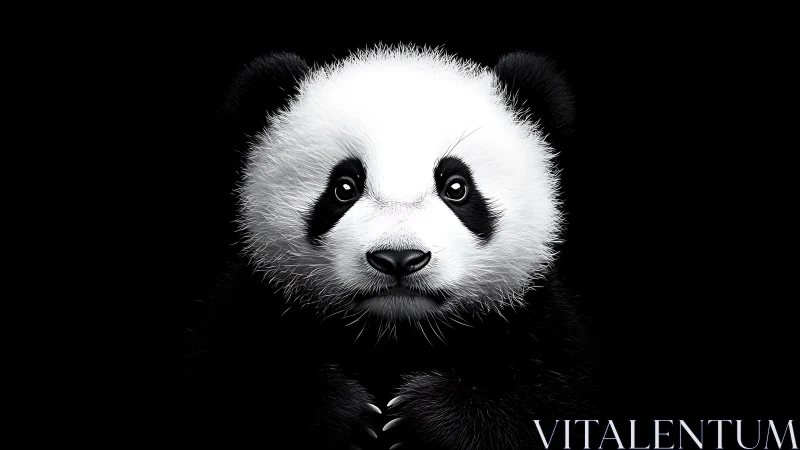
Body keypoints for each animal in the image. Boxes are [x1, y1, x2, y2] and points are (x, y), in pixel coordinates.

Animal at [179, 44, 597, 450]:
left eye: (456, 187)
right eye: (344, 188)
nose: (399, 259)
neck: (394, 333)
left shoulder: (539, 323)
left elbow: (550, 405)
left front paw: (425, 418)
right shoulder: (247, 307)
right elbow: (226, 389)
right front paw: (345, 412)